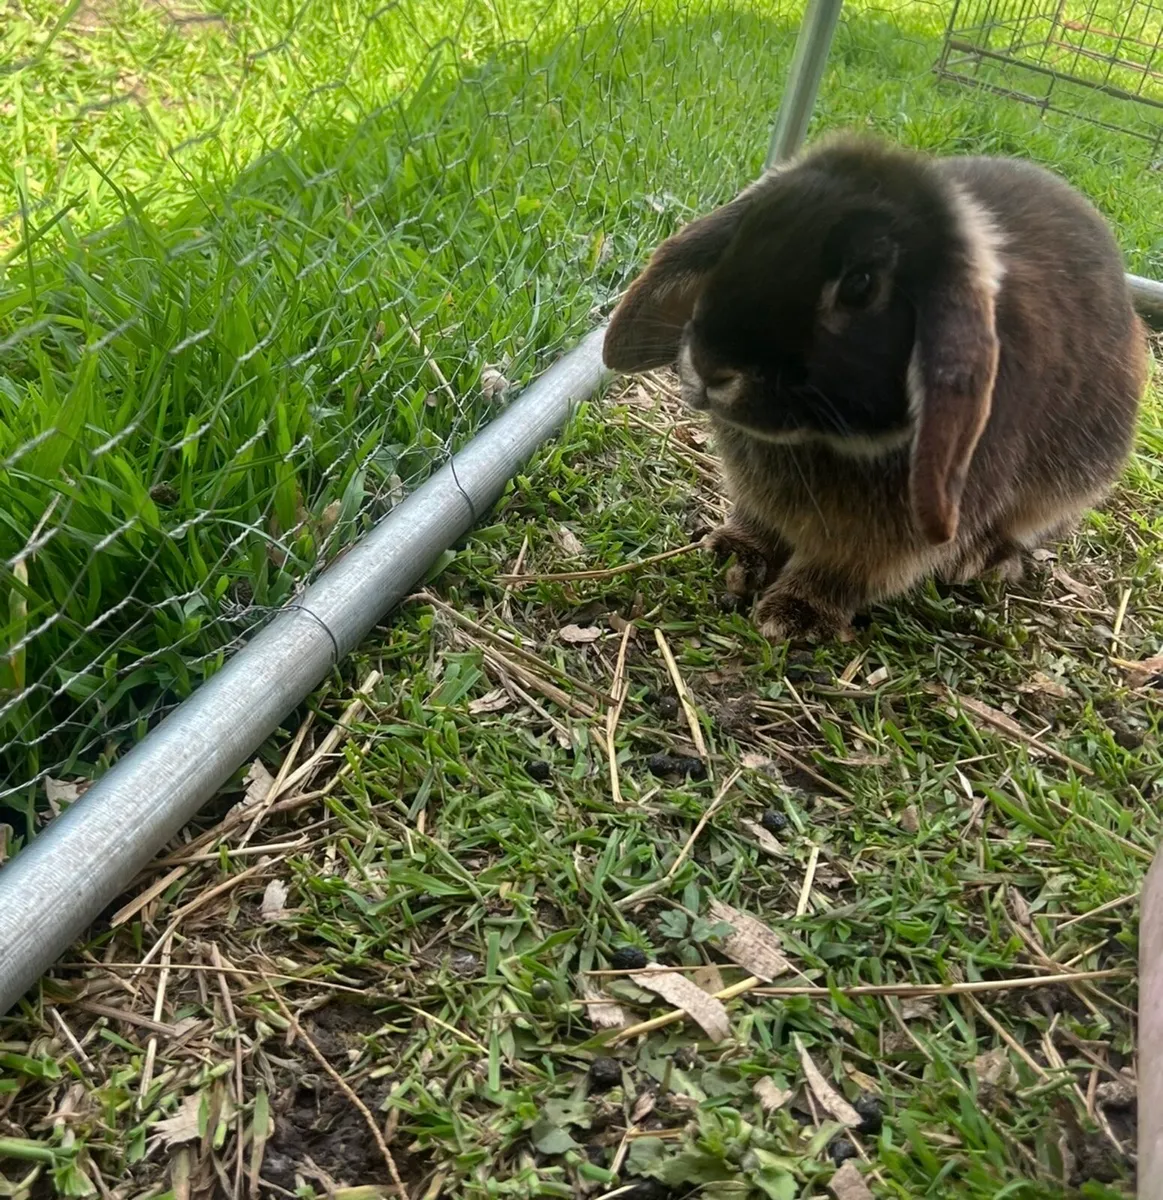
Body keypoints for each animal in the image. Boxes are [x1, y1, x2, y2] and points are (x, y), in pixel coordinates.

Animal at [602, 132, 1149, 642]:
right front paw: (733, 554)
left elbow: (848, 571)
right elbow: (757, 521)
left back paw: (979, 561)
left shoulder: (890, 542)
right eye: (741, 239)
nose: (711, 365)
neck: (823, 441)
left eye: (860, 285)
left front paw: (795, 615)